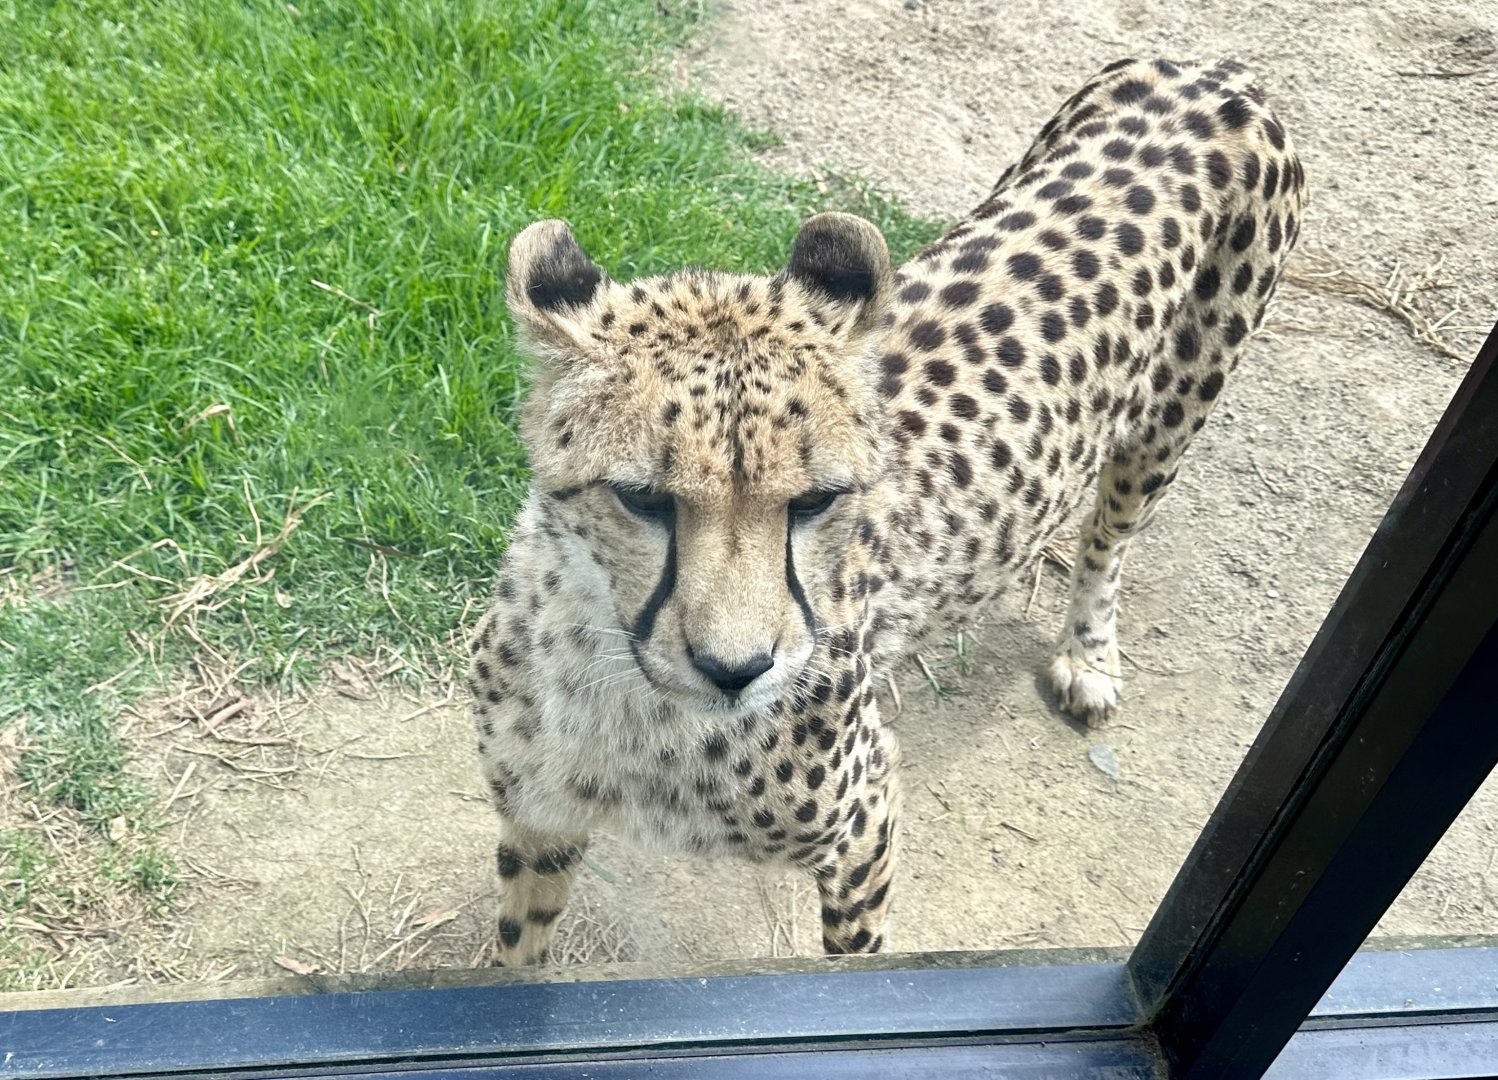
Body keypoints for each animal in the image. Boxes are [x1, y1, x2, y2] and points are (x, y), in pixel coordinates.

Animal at [465, 57, 1305, 964]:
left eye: (817, 500)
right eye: (642, 499)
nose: (735, 669)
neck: (619, 684)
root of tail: (1215, 68)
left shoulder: (865, 817)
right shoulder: (538, 815)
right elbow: (517, 957)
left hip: (1169, 423)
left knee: (1110, 536)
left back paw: (1089, 654)